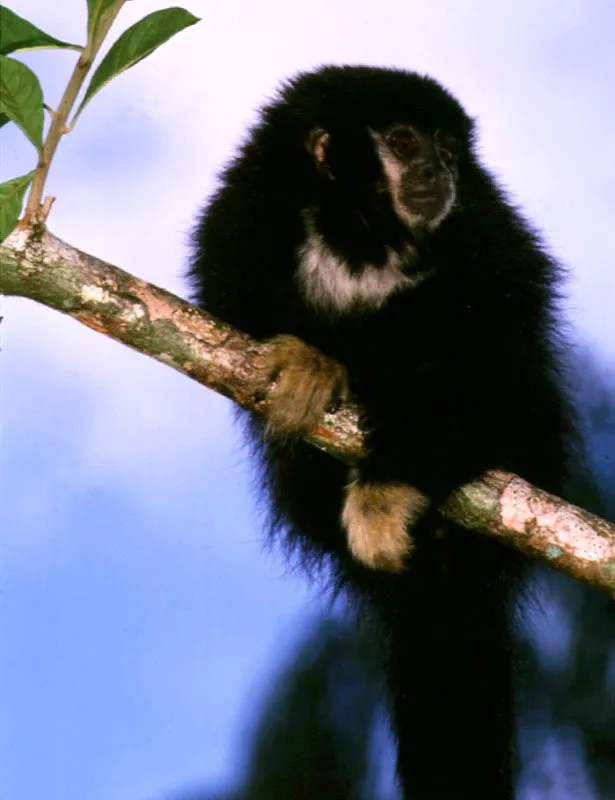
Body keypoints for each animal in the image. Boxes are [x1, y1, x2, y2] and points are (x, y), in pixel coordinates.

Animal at [189, 65, 576, 796]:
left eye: (449, 150)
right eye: (402, 142)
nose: (439, 170)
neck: (359, 233)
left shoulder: (482, 227)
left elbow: (492, 354)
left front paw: (387, 487)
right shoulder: (245, 207)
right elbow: (227, 313)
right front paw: (312, 361)